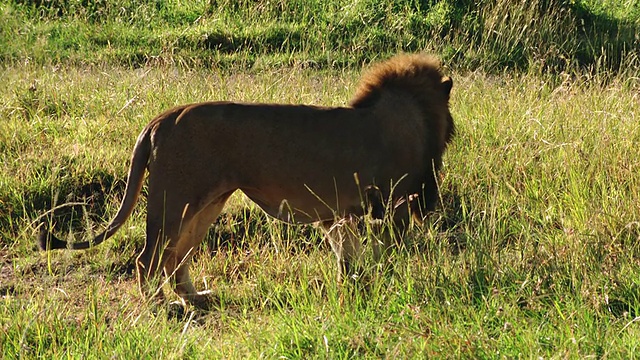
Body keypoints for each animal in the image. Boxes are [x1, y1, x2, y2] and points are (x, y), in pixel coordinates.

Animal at [37, 54, 456, 310]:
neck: (412, 118)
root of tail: (163, 117)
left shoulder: (338, 212)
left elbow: (348, 255)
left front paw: (353, 286)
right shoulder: (394, 206)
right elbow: (387, 255)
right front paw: (386, 286)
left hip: (207, 203)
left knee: (176, 258)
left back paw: (196, 298)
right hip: (175, 201)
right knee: (148, 259)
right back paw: (161, 305)